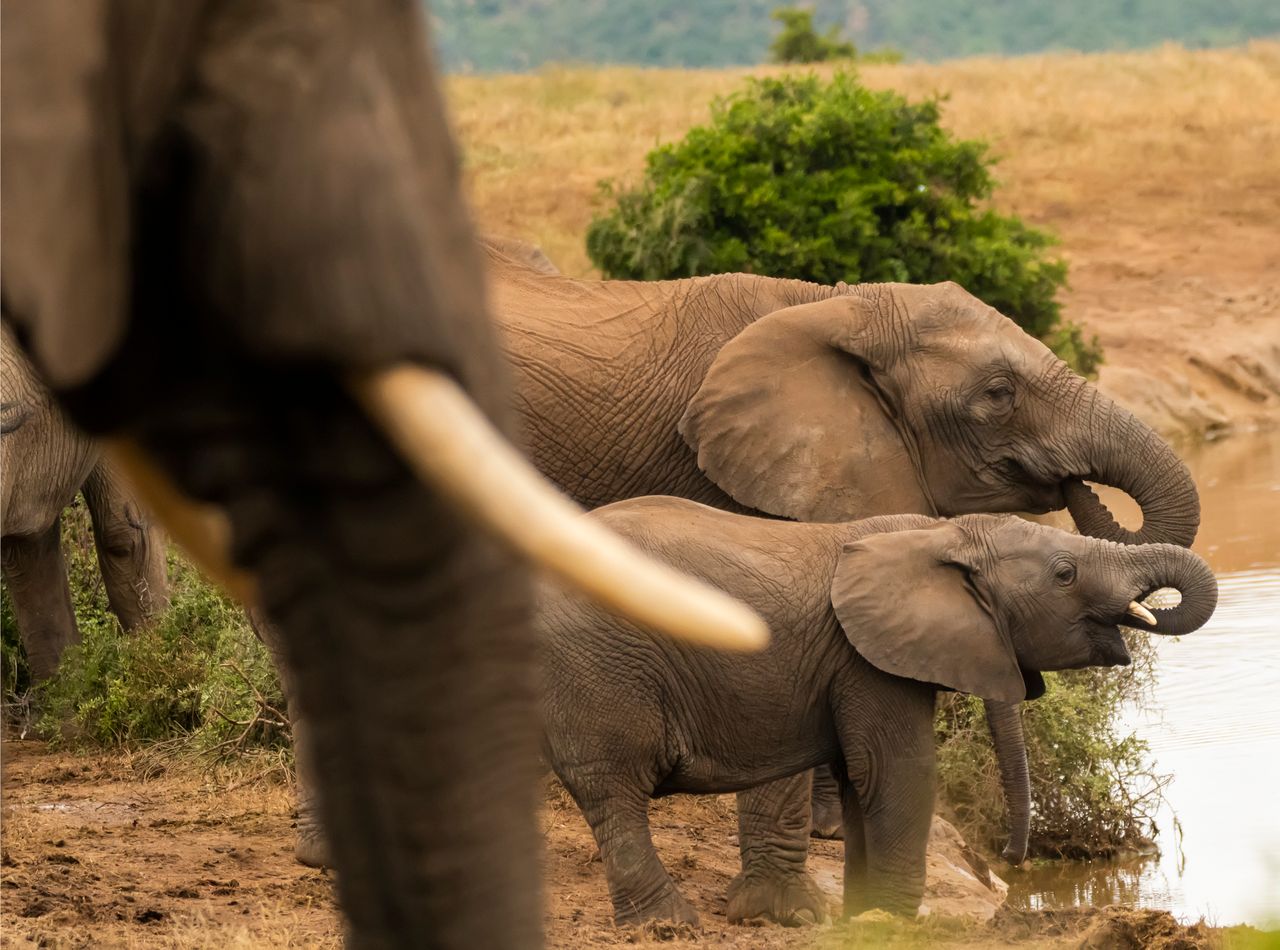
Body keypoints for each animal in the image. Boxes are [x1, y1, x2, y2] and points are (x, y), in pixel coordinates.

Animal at [540, 499, 1218, 925]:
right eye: (1065, 573)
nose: (1011, 860)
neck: (940, 533)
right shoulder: (865, 660)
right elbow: (895, 773)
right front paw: (890, 917)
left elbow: (857, 781)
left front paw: (860, 917)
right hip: (600, 665)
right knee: (615, 790)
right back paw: (667, 925)